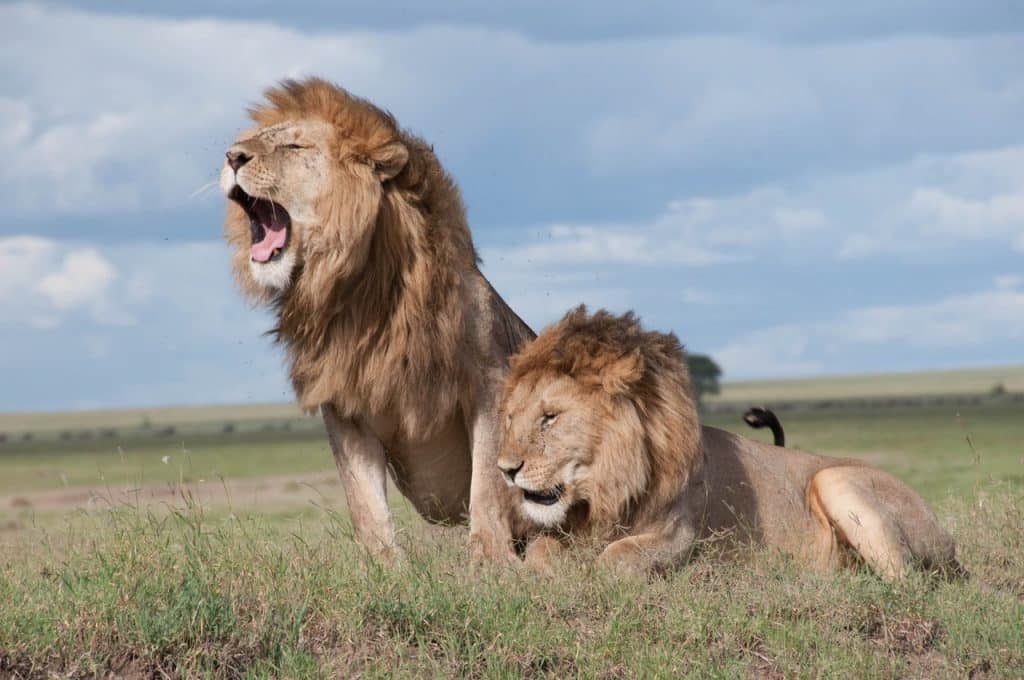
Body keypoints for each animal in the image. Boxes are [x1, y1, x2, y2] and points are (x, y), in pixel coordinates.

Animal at [219, 76, 532, 561]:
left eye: (293, 145)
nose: (232, 156)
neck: (361, 294)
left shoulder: (490, 381)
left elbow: (487, 483)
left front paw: (491, 559)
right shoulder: (343, 401)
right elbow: (363, 500)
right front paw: (384, 566)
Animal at [495, 307, 958, 577]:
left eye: (550, 418)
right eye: (511, 417)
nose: (505, 470)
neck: (606, 487)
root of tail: (946, 537)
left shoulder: (680, 534)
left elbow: (617, 558)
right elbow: (541, 551)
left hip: (836, 479)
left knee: (906, 582)